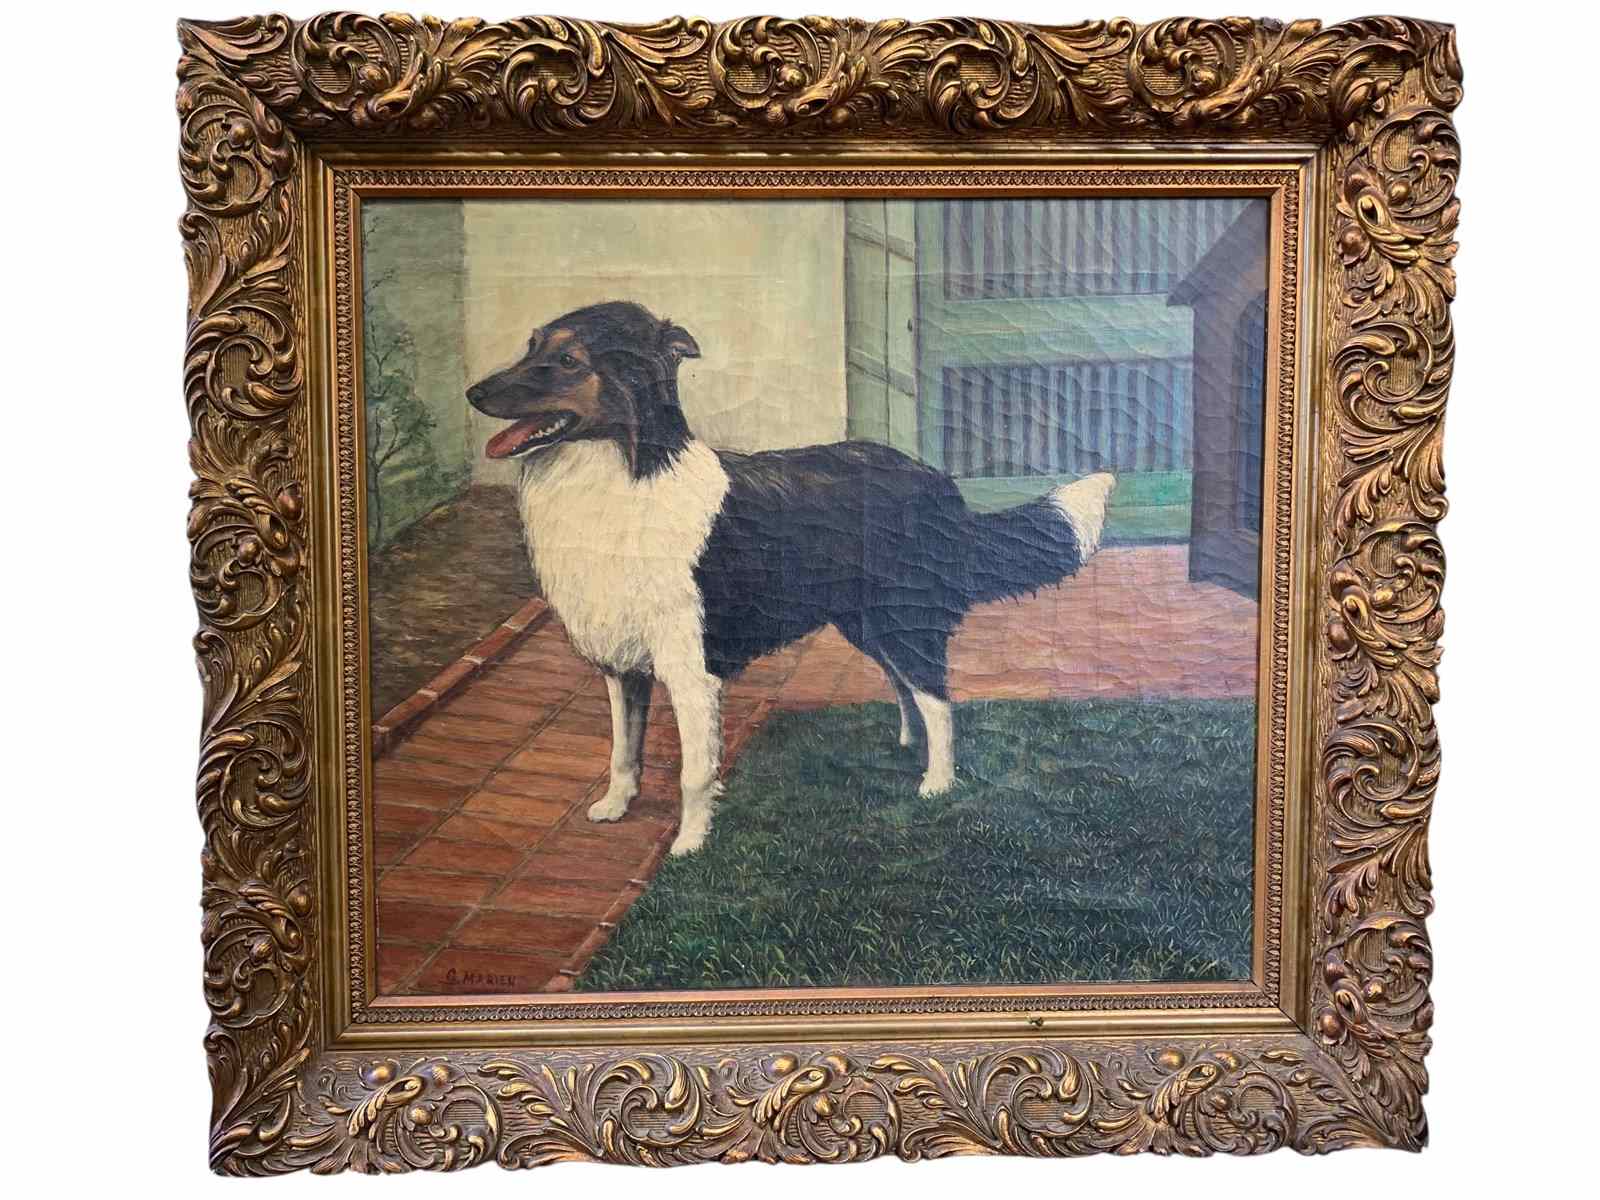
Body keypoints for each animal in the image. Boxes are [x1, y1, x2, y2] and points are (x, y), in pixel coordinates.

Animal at [467, 301, 1115, 856]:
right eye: (531, 347)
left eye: (568, 361)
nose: (473, 392)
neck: (627, 476)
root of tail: (940, 485)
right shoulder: (623, 664)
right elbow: (624, 750)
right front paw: (615, 806)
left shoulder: (690, 668)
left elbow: (694, 772)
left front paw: (690, 844)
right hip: (862, 621)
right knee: (904, 682)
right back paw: (905, 744)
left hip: (903, 617)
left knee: (938, 697)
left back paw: (936, 783)